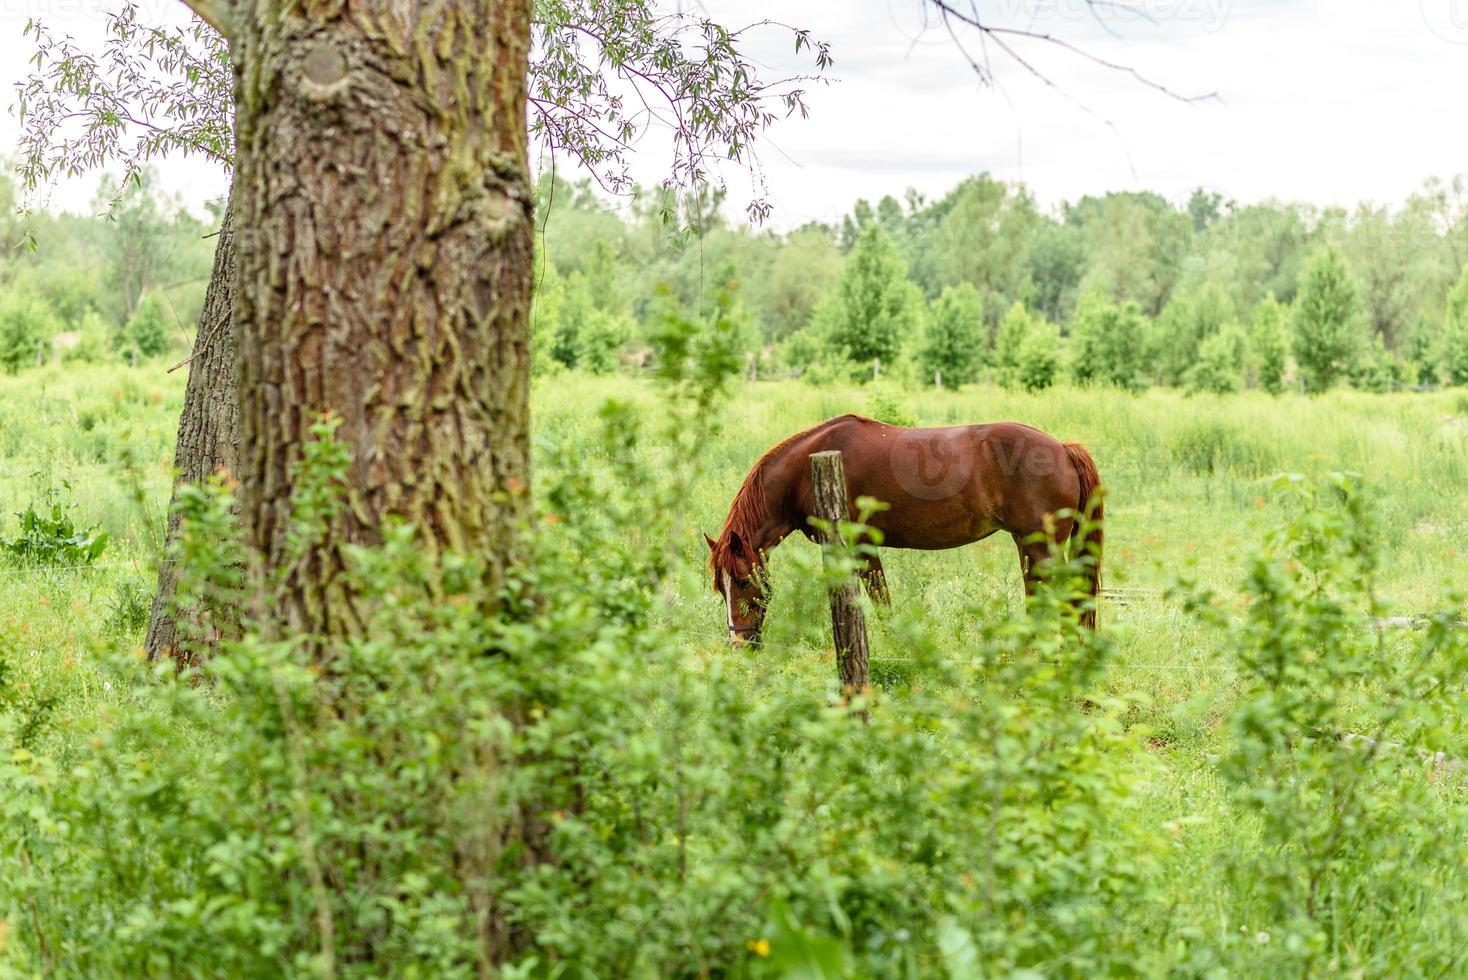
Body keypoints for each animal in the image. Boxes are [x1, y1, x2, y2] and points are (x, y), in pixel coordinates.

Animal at [707, 413, 1103, 642]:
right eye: (719, 589)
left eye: (743, 582)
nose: (739, 644)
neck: (804, 471)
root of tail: (1063, 449)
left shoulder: (857, 545)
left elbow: (878, 600)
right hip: (1027, 545)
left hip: (1042, 548)